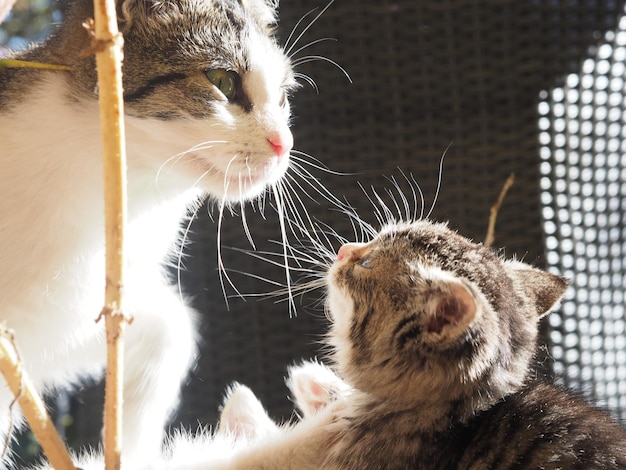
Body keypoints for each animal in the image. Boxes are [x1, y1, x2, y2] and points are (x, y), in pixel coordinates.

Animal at [0, 0, 294, 462]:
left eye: (283, 96)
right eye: (222, 80)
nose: (284, 144)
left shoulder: (71, 316)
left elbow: (172, 328)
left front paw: (132, 447)